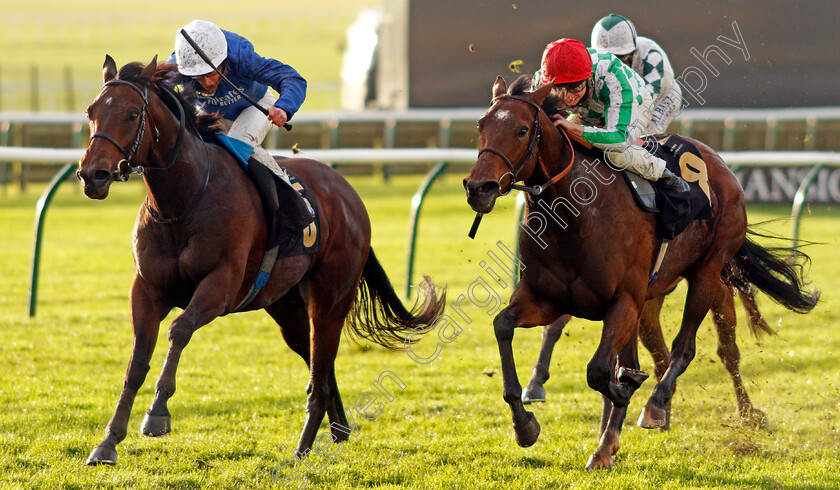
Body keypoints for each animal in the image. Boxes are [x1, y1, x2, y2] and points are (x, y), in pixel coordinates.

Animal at [79, 55, 446, 466]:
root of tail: (349, 193)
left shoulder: (220, 284)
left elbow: (179, 329)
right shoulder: (146, 289)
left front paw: (157, 414)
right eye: (92, 111)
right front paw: (108, 442)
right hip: (287, 307)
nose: (92, 174)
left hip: (331, 297)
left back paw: (303, 449)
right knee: (320, 364)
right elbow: (136, 362)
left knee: (321, 367)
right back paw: (338, 431)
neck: (184, 200)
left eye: (130, 114)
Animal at [462, 74, 816, 468]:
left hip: (708, 274)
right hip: (651, 300)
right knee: (660, 353)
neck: (574, 216)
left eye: (522, 129)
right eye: (481, 125)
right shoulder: (545, 299)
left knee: (697, 349)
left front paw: (623, 400)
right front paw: (525, 424)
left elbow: (602, 370)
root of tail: (722, 167)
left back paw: (688, 409)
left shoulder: (623, 301)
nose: (478, 187)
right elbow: (504, 326)